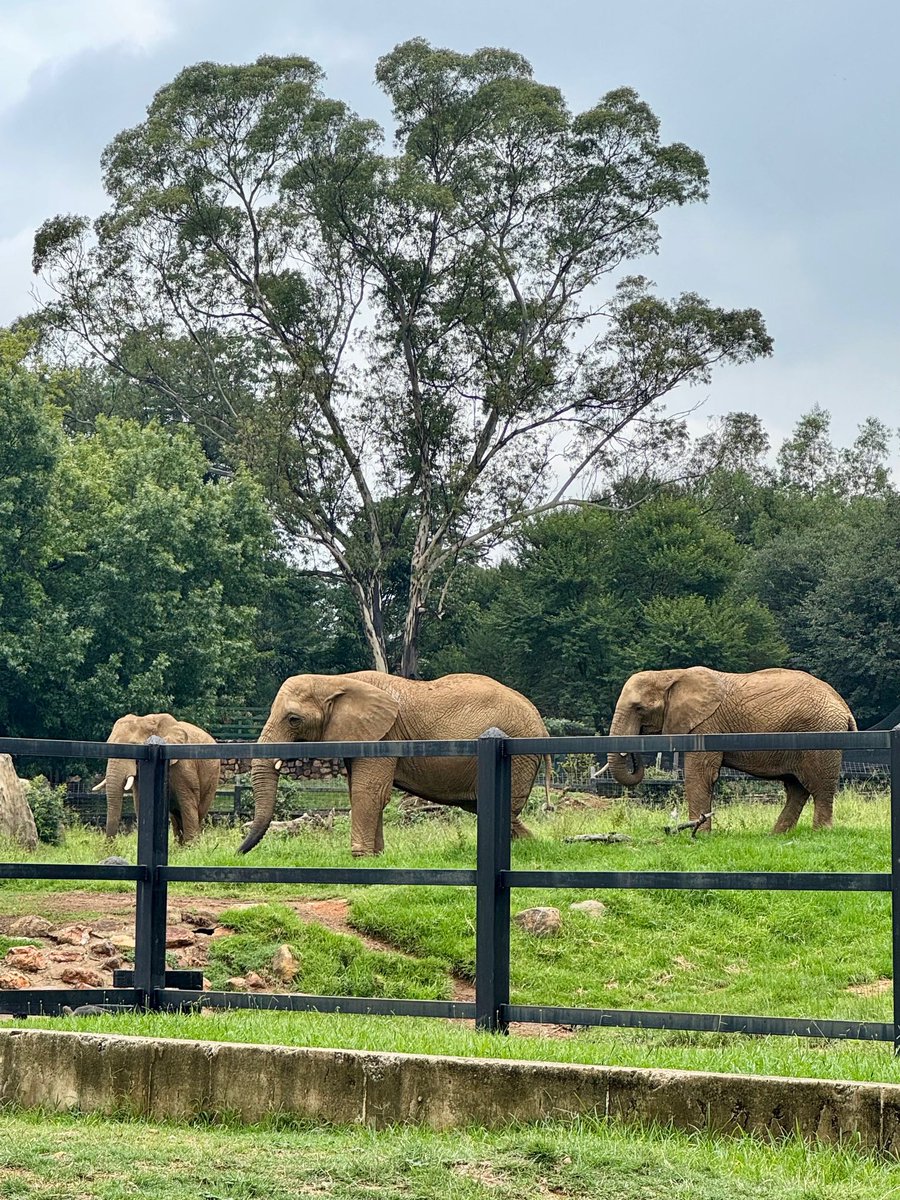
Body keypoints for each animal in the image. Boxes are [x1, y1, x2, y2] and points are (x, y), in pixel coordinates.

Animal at [93, 713, 220, 842]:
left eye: (134, 745)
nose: (110, 845)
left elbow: (188, 804)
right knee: (176, 817)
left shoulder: (185, 766)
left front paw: (191, 846)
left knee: (198, 811)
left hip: (212, 777)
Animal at [238, 671, 550, 857]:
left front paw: (359, 857)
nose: (237, 853)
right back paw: (531, 845)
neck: (336, 680)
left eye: (293, 719)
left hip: (518, 752)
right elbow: (363, 791)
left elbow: (369, 791)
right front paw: (375, 857)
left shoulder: (385, 734)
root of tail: (541, 723)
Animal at [606, 667, 857, 833]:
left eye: (639, 708)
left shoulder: (706, 726)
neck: (670, 674)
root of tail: (844, 707)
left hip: (822, 736)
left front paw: (698, 834)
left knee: (820, 787)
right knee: (796, 788)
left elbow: (700, 774)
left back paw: (821, 832)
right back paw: (776, 835)